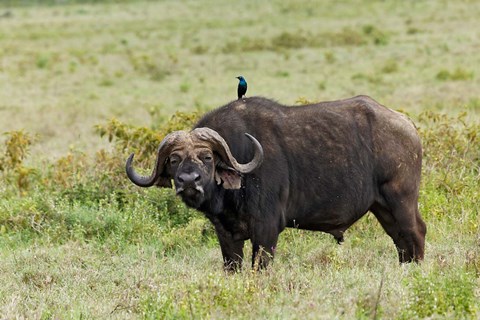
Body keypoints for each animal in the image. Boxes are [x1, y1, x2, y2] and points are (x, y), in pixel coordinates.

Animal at [125, 95, 426, 270]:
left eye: (207, 156)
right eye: (174, 160)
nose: (189, 180)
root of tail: (408, 126)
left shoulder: (267, 230)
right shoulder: (226, 234)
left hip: (401, 199)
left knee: (415, 232)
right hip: (382, 208)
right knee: (400, 240)